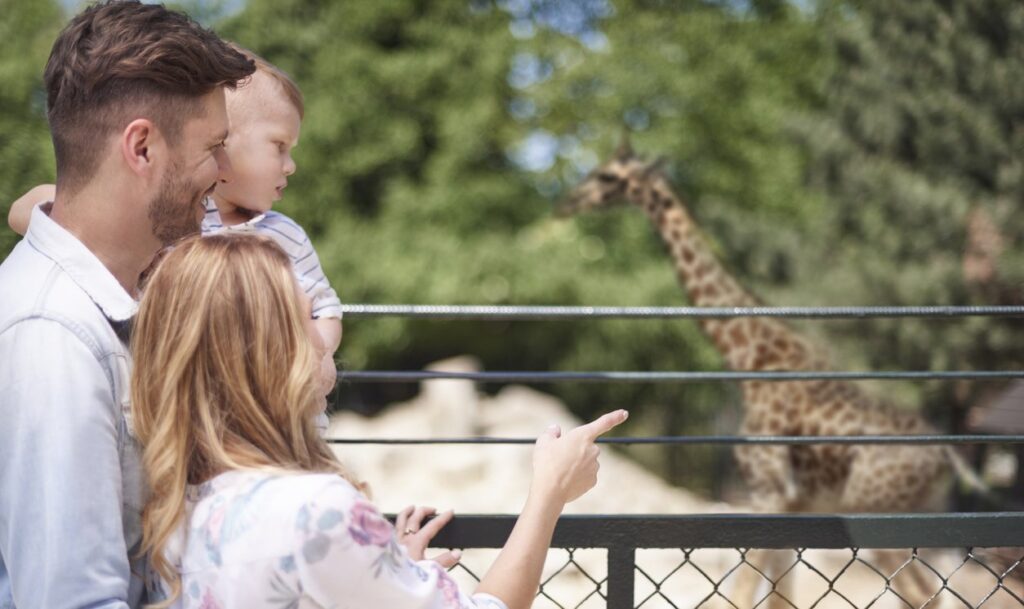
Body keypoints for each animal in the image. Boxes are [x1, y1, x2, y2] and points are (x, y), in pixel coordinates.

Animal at [561, 139, 983, 609]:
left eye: (608, 176)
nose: (568, 201)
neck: (747, 358)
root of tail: (946, 456)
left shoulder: (769, 491)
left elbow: (742, 595)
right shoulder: (789, 504)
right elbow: (779, 596)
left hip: (874, 508)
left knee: (922, 593)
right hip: (922, 514)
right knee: (934, 591)